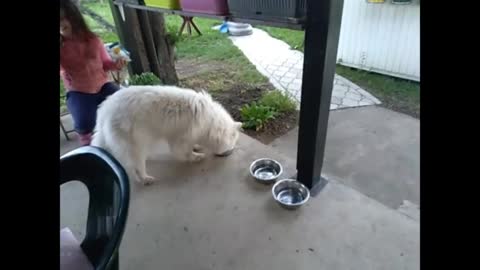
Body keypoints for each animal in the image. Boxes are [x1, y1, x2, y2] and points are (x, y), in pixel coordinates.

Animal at [90, 85, 242, 185]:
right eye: (231, 145)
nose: (230, 153)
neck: (210, 121)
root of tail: (105, 109)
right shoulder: (180, 137)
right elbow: (184, 151)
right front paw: (195, 156)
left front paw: (197, 147)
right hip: (136, 143)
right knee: (137, 165)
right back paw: (145, 178)